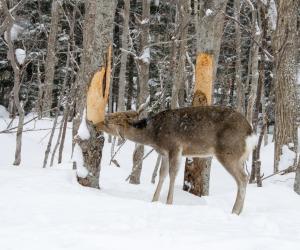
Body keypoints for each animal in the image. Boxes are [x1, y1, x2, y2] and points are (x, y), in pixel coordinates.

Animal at [96, 106, 258, 215]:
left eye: (107, 121)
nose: (95, 123)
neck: (154, 136)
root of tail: (251, 133)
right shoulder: (164, 153)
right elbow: (162, 174)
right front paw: (154, 200)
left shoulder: (175, 147)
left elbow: (173, 174)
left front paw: (169, 202)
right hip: (240, 157)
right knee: (244, 177)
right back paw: (240, 210)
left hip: (229, 153)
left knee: (243, 178)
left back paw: (235, 211)